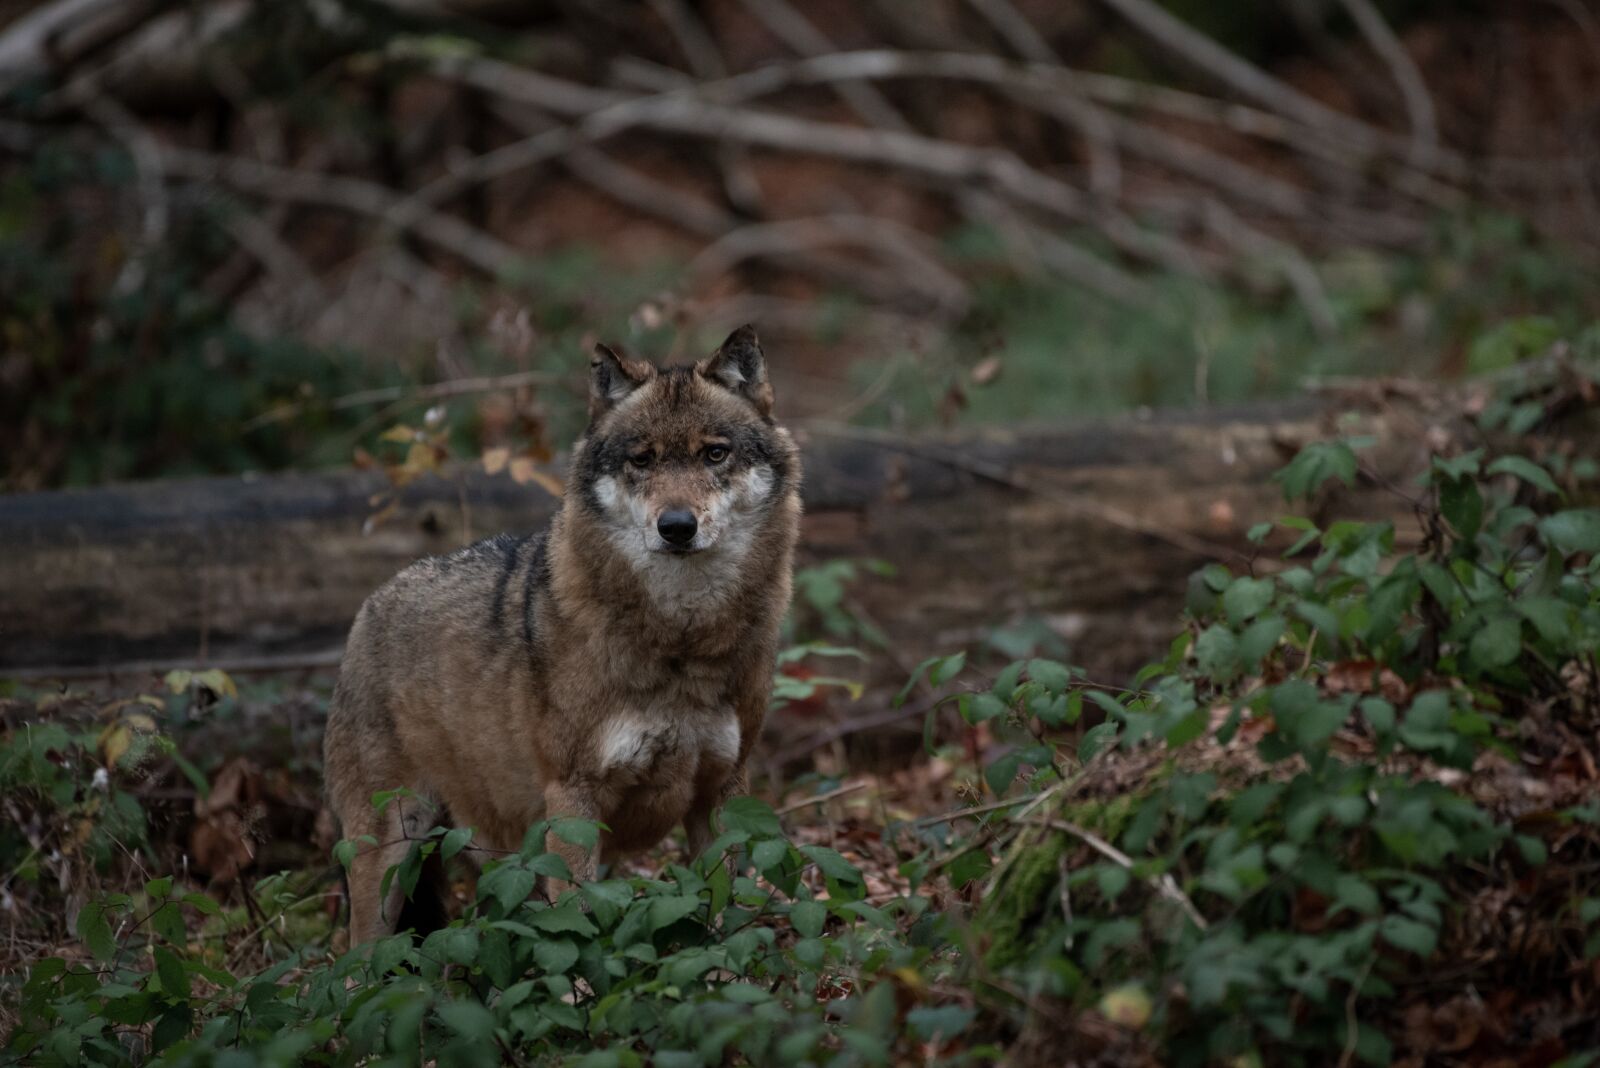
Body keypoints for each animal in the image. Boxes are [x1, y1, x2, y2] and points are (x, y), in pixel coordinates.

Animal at [322, 325, 801, 943]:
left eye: (714, 453)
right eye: (642, 460)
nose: (676, 527)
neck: (681, 638)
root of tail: (370, 605)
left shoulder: (725, 792)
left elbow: (723, 918)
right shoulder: (573, 800)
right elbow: (575, 925)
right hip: (390, 853)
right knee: (358, 957)